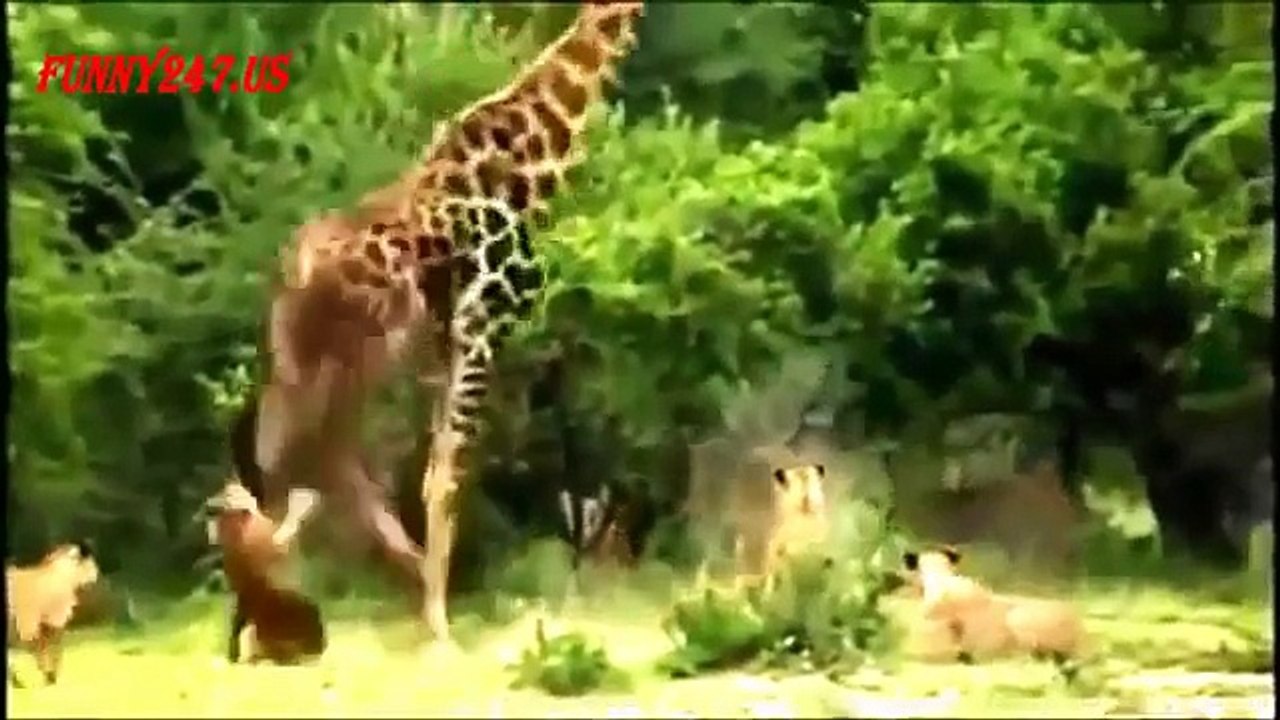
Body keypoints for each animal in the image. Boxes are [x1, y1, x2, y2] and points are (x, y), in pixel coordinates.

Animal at [253, 2, 646, 642]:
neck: (530, 166)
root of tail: (294, 272)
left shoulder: (445, 342)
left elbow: (433, 470)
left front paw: (433, 605)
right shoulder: (484, 325)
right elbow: (447, 476)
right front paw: (440, 624)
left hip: (310, 361)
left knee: (308, 457)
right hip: (347, 359)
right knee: (313, 458)